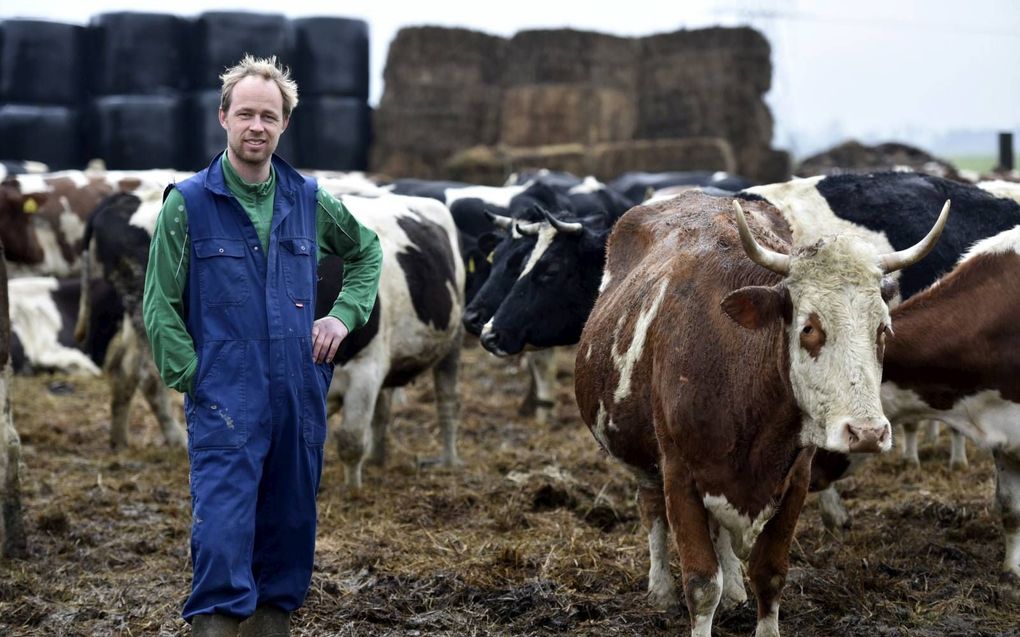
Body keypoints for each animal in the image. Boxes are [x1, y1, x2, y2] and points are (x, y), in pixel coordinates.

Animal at [575, 191, 946, 631]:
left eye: (882, 329)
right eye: (809, 328)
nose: (868, 434)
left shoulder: (796, 477)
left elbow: (769, 574)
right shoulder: (678, 473)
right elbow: (701, 584)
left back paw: (734, 589)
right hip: (644, 460)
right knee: (652, 512)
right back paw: (661, 590)